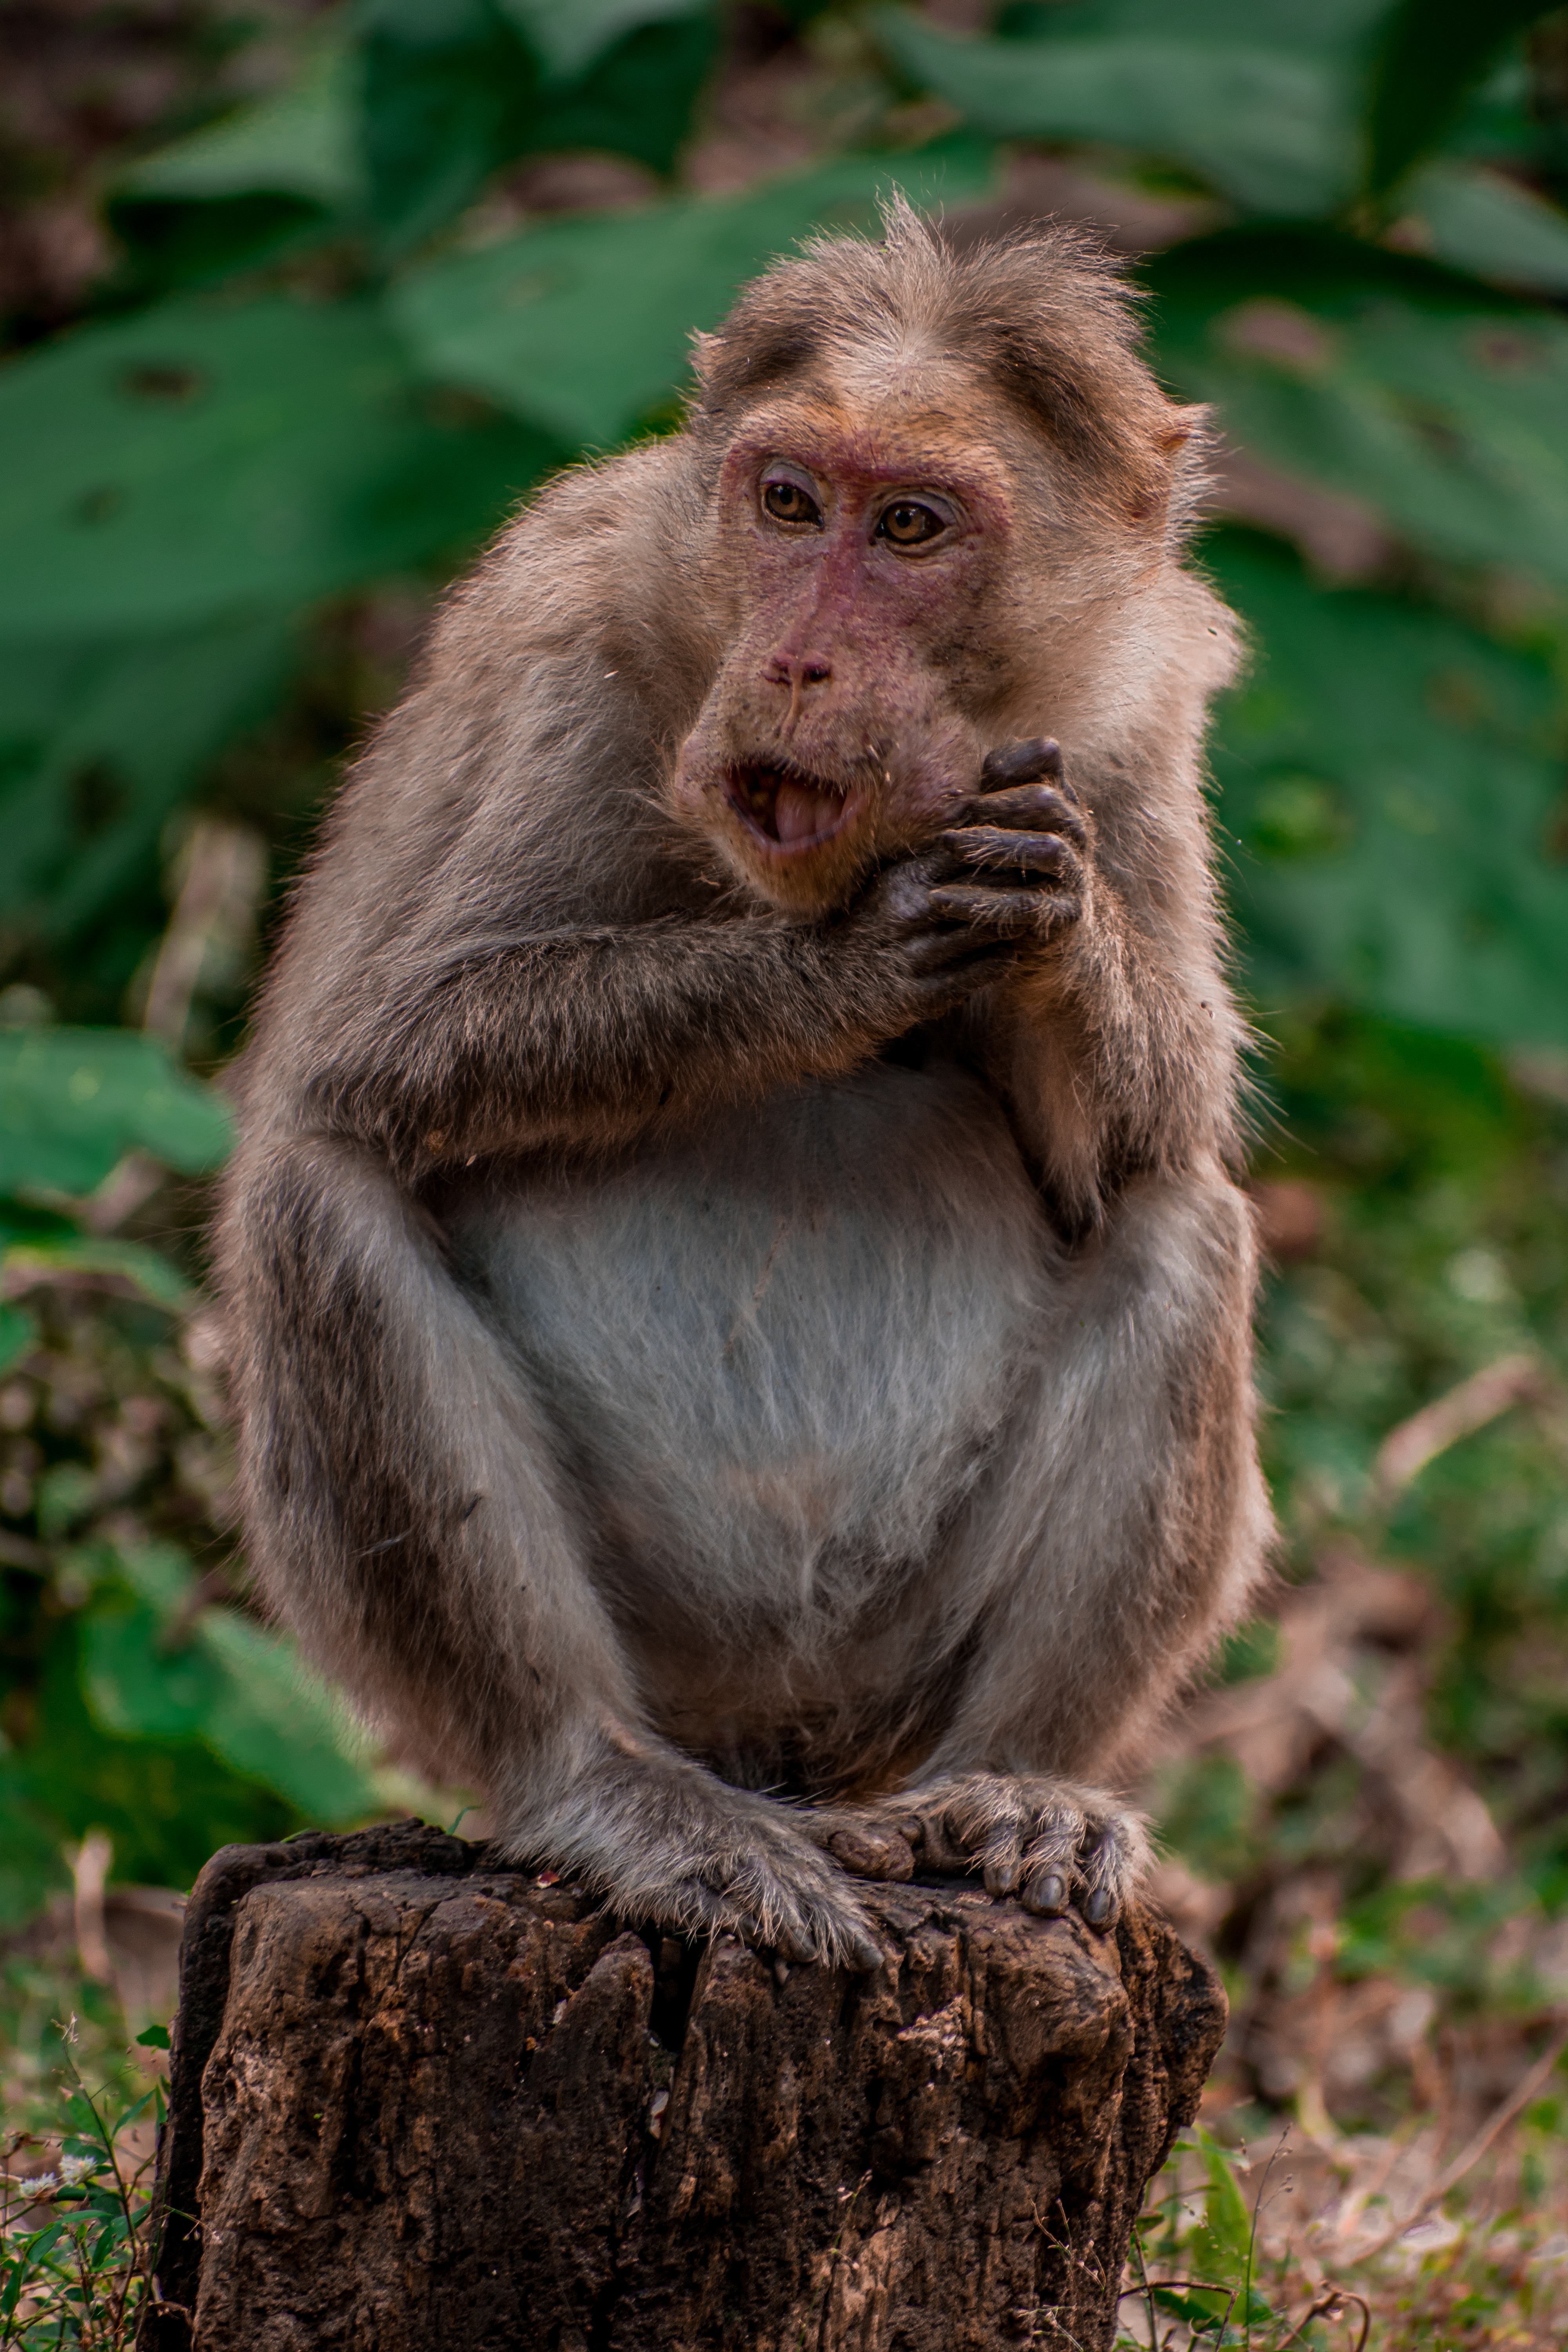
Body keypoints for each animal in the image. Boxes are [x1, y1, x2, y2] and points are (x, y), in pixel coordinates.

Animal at [217, 198, 1279, 1966]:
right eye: (789, 505)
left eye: (910, 529)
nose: (793, 666)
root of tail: (773, 1742)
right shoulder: (563, 641)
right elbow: (378, 1051)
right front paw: (845, 964)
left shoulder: (1139, 723)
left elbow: (1147, 1141)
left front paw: (1059, 935)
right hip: (651, 1655)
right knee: (320, 1187)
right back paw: (601, 1787)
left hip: (892, 1675)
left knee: (1186, 1224)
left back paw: (1018, 1787)